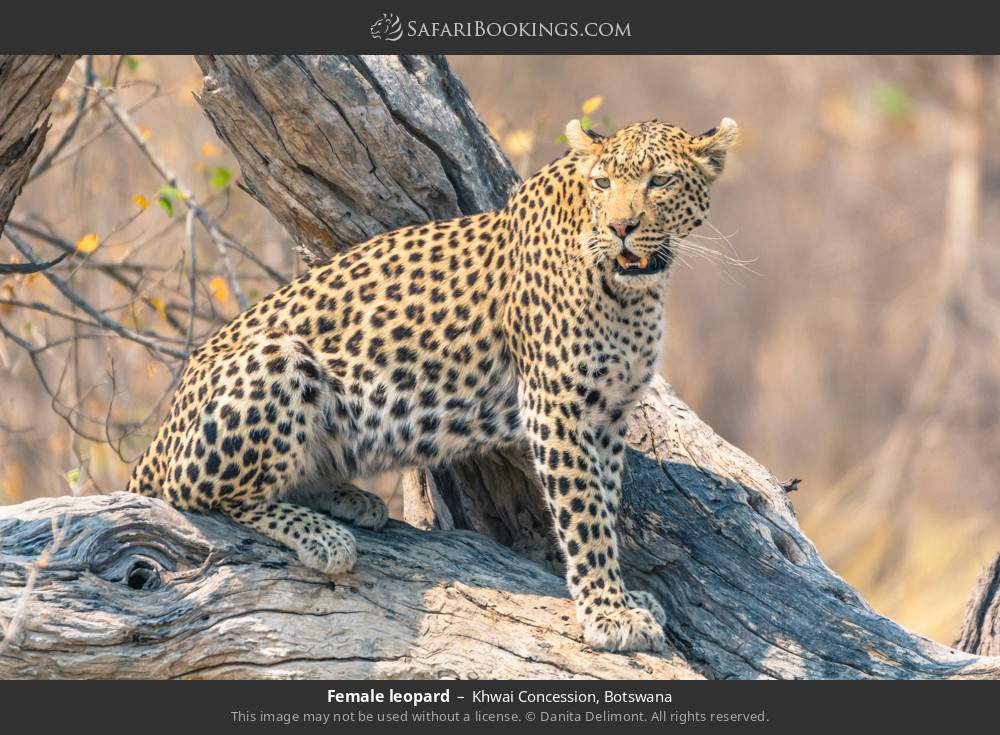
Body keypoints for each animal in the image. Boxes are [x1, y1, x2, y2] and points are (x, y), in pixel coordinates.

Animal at [125, 118, 740, 652]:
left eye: (660, 181)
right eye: (604, 183)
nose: (621, 229)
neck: (634, 294)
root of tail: (158, 438)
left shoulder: (609, 413)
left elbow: (606, 503)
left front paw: (622, 596)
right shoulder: (558, 408)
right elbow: (584, 513)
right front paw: (609, 613)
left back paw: (349, 501)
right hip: (277, 360)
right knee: (197, 491)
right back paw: (323, 538)